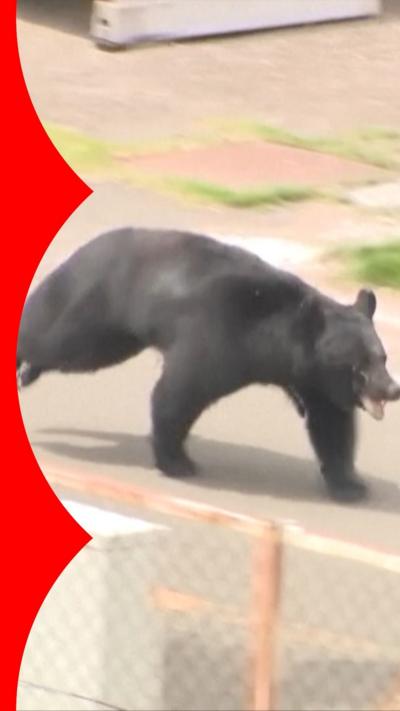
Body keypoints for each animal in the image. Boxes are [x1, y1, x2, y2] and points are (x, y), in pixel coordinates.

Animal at [17, 227, 400, 502]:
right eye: (361, 364)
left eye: (382, 357)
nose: (392, 389)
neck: (278, 337)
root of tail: (87, 247)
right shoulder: (221, 333)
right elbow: (180, 392)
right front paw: (177, 462)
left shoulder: (314, 377)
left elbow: (330, 423)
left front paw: (349, 484)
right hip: (94, 304)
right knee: (54, 336)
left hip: (116, 335)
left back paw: (30, 372)